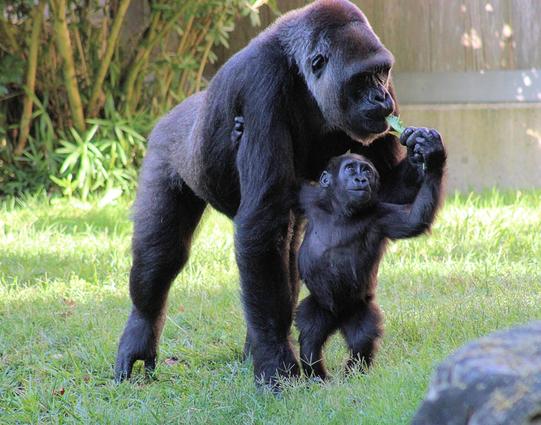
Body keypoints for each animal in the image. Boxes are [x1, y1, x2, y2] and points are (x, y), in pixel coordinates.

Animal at [298, 128, 446, 378]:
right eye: (350, 169)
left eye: (366, 170)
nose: (361, 179)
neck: (340, 210)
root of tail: (338, 318)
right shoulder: (307, 197)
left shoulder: (380, 215)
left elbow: (413, 221)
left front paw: (433, 158)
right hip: (320, 305)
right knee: (310, 335)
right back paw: (316, 376)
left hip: (359, 308)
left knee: (361, 338)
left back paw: (353, 374)